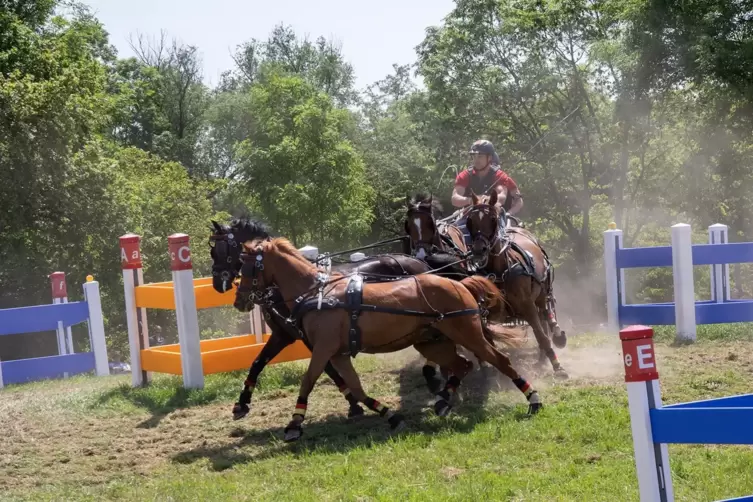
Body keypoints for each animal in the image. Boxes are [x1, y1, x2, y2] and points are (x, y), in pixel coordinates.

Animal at [207, 220, 452, 420]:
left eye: (222, 250)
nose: (218, 284)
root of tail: (419, 262)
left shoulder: (313, 338)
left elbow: (329, 370)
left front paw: (354, 403)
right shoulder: (284, 334)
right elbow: (257, 363)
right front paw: (241, 404)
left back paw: (435, 378)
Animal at [234, 237, 540, 442]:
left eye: (246, 268)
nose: (238, 300)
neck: (317, 293)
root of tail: (458, 284)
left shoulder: (322, 349)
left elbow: (307, 381)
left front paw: (294, 425)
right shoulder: (338, 353)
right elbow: (355, 388)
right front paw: (390, 415)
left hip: (467, 333)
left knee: (498, 360)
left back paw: (533, 399)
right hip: (432, 341)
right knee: (462, 365)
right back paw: (443, 401)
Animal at [468, 190, 568, 378]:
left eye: (492, 218)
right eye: (470, 220)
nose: (478, 250)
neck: (500, 271)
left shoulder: (527, 305)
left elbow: (541, 336)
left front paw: (558, 367)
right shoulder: (485, 313)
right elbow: (485, 340)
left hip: (541, 294)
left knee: (546, 319)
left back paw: (553, 342)